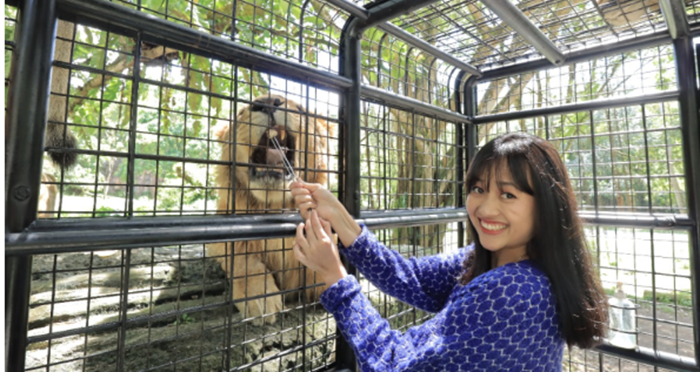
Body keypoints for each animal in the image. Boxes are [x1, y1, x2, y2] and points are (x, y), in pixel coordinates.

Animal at [206, 95, 334, 326]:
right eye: (241, 113)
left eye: (300, 108)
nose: (267, 101)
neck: (276, 207)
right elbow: (242, 259)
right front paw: (259, 298)